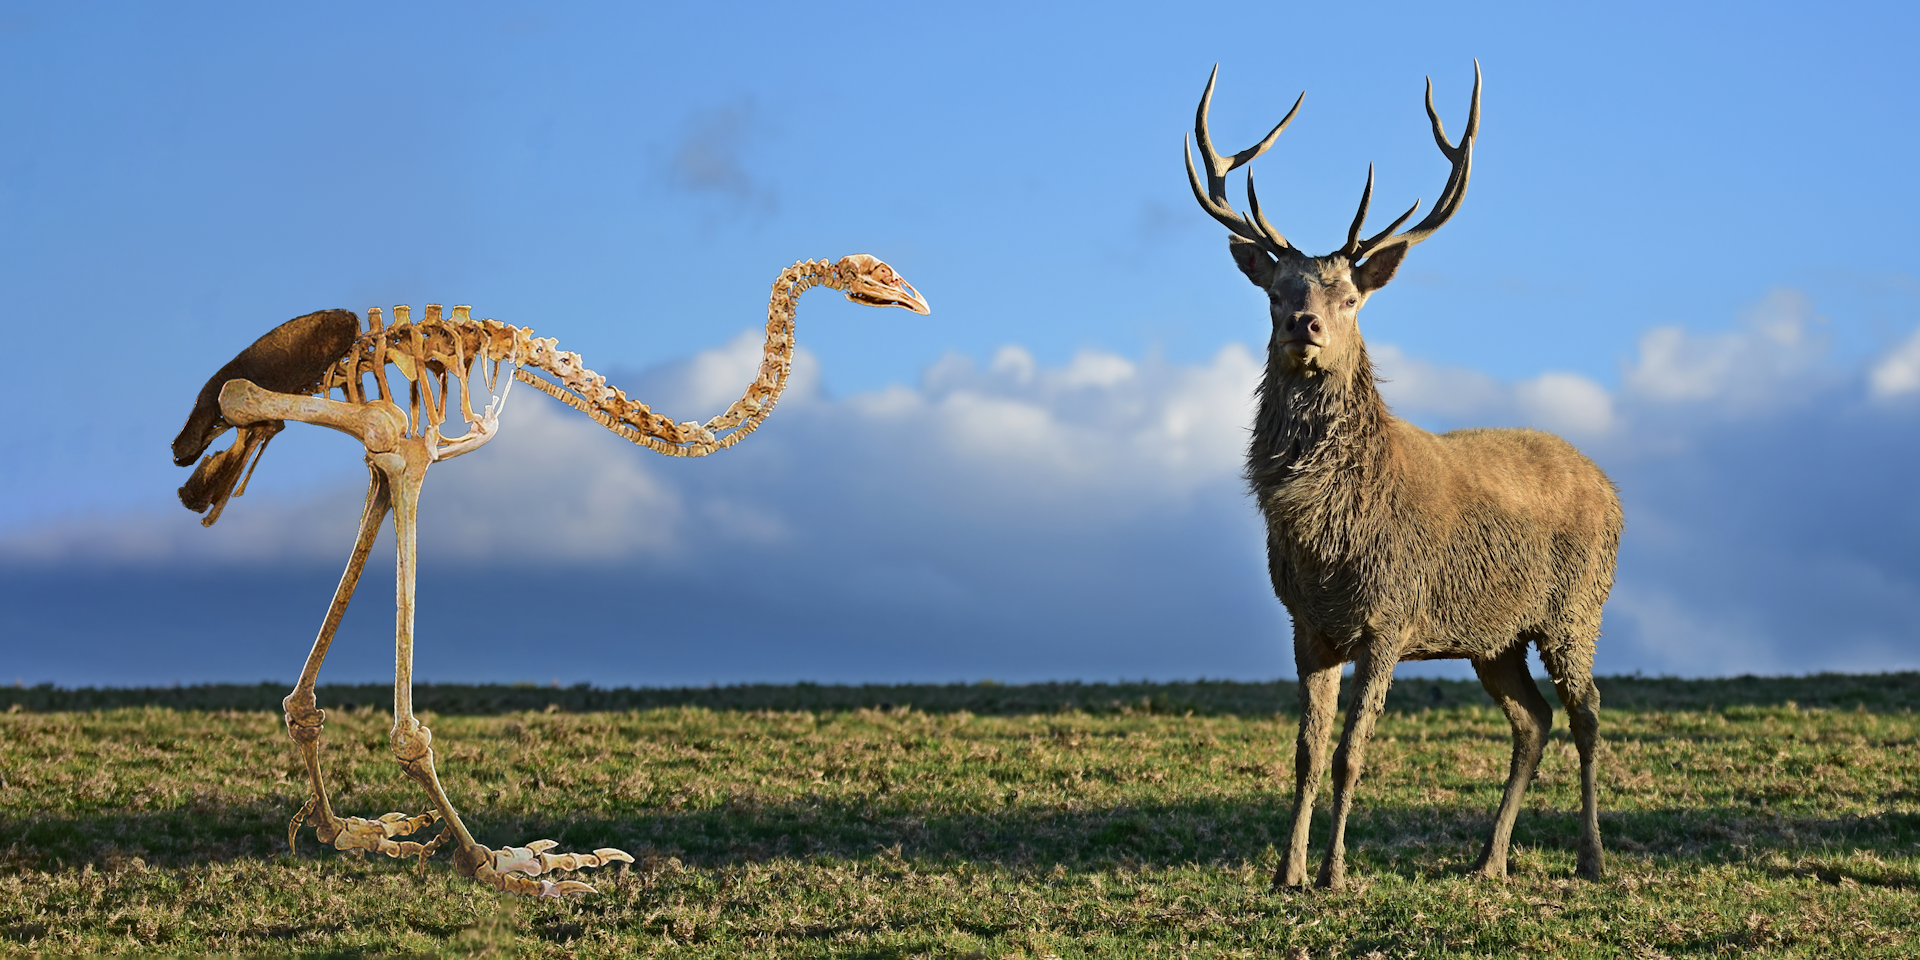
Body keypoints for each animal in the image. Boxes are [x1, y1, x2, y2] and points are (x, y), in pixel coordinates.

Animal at [1183, 63, 1622, 889]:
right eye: (1277, 291)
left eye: (1350, 297)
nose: (1304, 327)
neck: (1328, 538)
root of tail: (1612, 487)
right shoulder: (1308, 625)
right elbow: (1305, 754)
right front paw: (1286, 871)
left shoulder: (1390, 616)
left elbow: (1351, 756)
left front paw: (1333, 873)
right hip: (1494, 637)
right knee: (1533, 719)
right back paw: (1489, 860)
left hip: (1575, 610)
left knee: (1586, 710)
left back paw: (1590, 857)